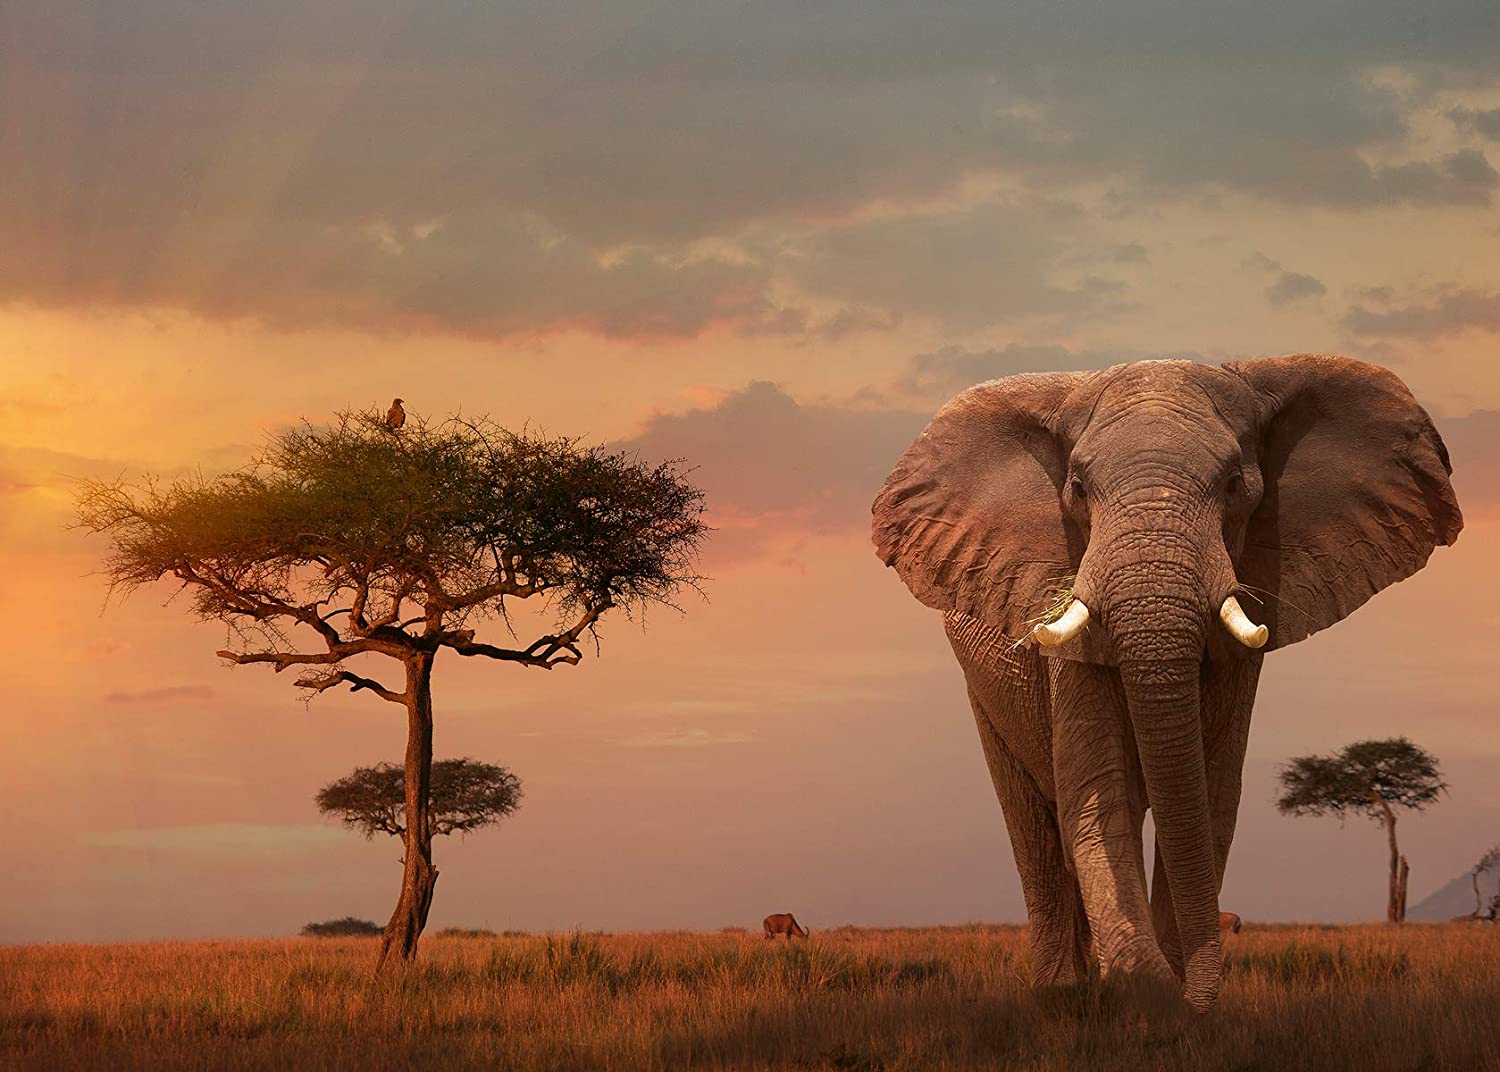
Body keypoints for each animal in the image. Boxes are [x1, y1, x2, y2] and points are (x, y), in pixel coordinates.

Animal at [871, 355, 1461, 1010]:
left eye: (1234, 485)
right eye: (1078, 488)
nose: (1194, 997)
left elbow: (1210, 795)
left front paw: (1172, 1000)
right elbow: (1100, 791)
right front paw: (1142, 988)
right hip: (983, 687)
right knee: (1035, 825)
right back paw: (1062, 994)